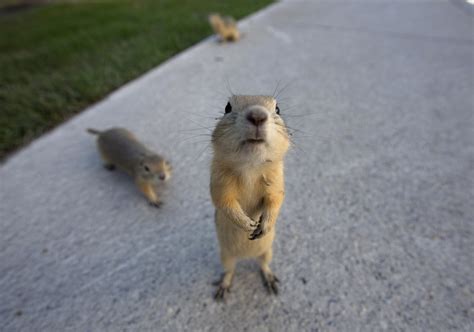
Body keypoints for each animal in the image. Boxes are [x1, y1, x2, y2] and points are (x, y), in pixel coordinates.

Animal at [210, 94, 290, 300]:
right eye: (227, 107)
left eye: (278, 109)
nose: (257, 115)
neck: (250, 167)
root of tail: (245, 257)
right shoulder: (219, 183)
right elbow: (224, 202)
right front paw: (247, 224)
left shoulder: (276, 182)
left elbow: (275, 199)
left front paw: (263, 225)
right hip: (226, 256)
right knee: (230, 271)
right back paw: (223, 287)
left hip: (267, 251)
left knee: (263, 264)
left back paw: (270, 280)